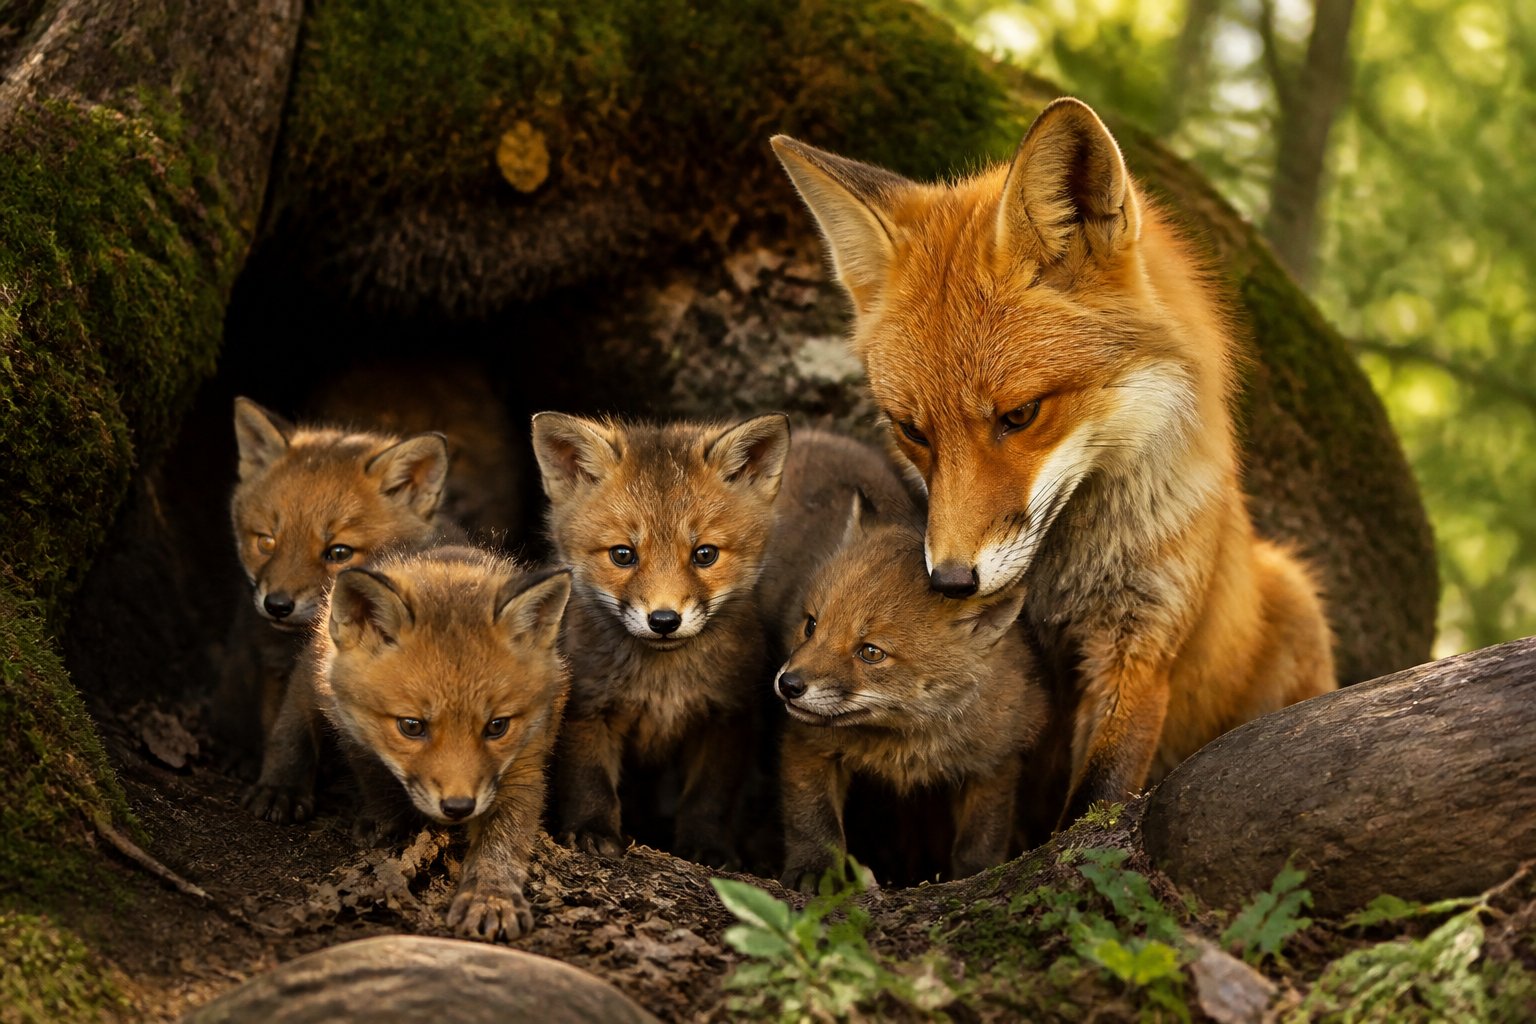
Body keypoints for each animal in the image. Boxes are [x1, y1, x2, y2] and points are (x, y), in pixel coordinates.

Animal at [283, 545, 571, 941]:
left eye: (497, 726)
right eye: (411, 726)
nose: (459, 807)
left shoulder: (525, 765)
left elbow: (502, 844)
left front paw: (490, 897)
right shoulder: (353, 731)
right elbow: (375, 778)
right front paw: (386, 822)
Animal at [531, 411, 790, 865]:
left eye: (705, 554)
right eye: (623, 554)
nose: (664, 620)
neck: (662, 685)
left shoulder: (726, 715)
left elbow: (709, 796)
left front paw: (705, 845)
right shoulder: (587, 708)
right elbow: (589, 781)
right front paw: (592, 831)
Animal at [772, 97, 1336, 826]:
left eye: (1020, 415)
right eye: (912, 430)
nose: (950, 581)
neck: (1065, 576)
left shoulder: (1139, 642)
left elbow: (1096, 798)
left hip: (1295, 602)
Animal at [773, 503, 1045, 890]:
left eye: (871, 652)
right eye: (811, 625)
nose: (789, 684)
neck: (905, 743)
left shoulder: (994, 763)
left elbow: (981, 839)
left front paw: (975, 877)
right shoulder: (809, 744)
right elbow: (813, 820)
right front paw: (816, 868)